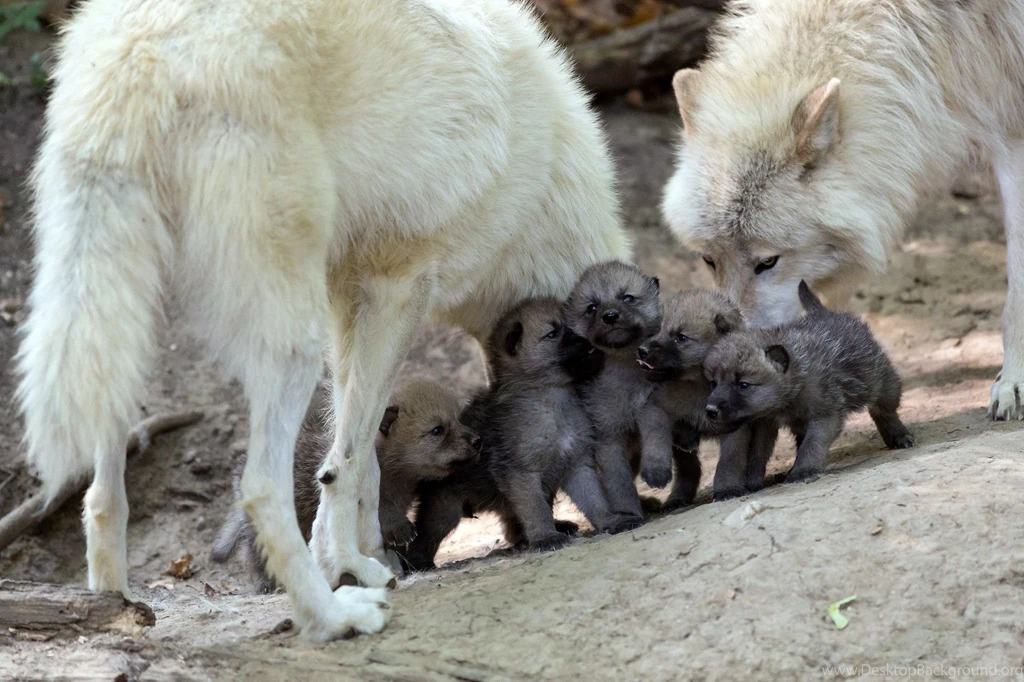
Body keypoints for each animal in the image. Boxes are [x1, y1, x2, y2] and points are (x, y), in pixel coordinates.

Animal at [211, 380, 480, 593]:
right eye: (437, 430)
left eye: (459, 419)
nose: (477, 440)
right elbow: (383, 512)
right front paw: (402, 533)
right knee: (256, 555)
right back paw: (267, 584)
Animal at [661, 0, 1024, 421]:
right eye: (709, 261)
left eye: (768, 262)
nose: (726, 359)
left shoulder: (1011, 124)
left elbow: (1016, 289)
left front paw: (1013, 381)